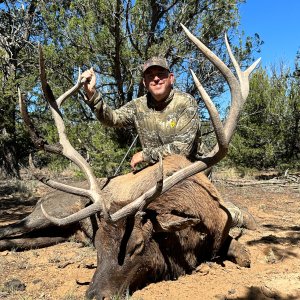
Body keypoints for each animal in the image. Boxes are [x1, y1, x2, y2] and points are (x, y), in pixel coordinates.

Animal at [0, 24, 260, 298]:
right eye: (98, 245)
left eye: (137, 246)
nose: (95, 294)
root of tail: (42, 198)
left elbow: (245, 256)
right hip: (46, 216)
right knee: (8, 229)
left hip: (59, 231)